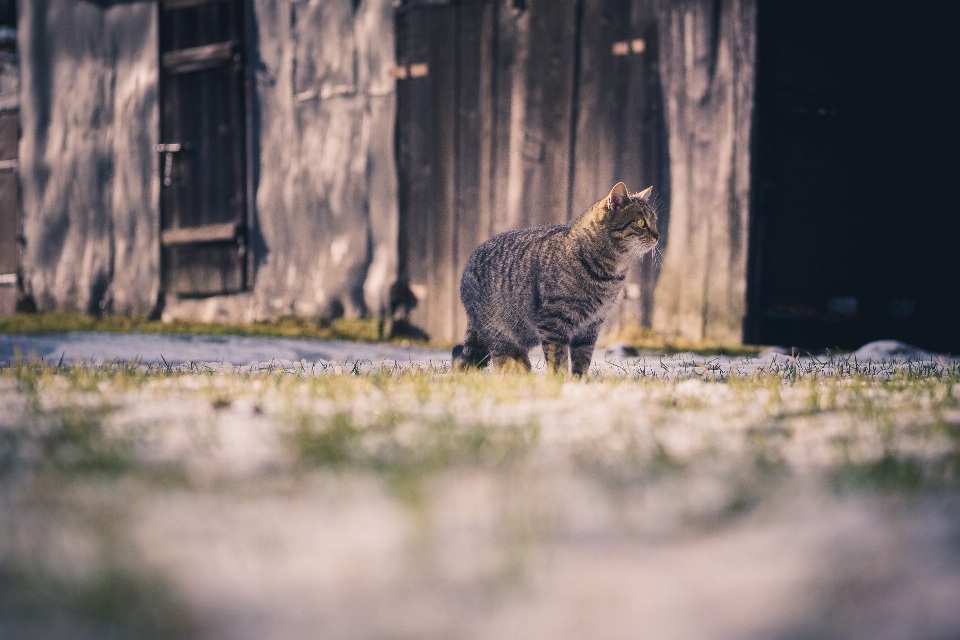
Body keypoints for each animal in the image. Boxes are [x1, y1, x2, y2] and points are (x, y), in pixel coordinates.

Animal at [454, 181, 656, 376]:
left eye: (655, 221)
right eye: (641, 222)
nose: (658, 235)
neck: (609, 275)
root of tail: (468, 262)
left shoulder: (591, 326)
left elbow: (582, 359)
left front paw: (579, 381)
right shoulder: (553, 321)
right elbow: (558, 358)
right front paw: (558, 381)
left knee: (518, 359)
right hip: (499, 332)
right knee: (502, 361)